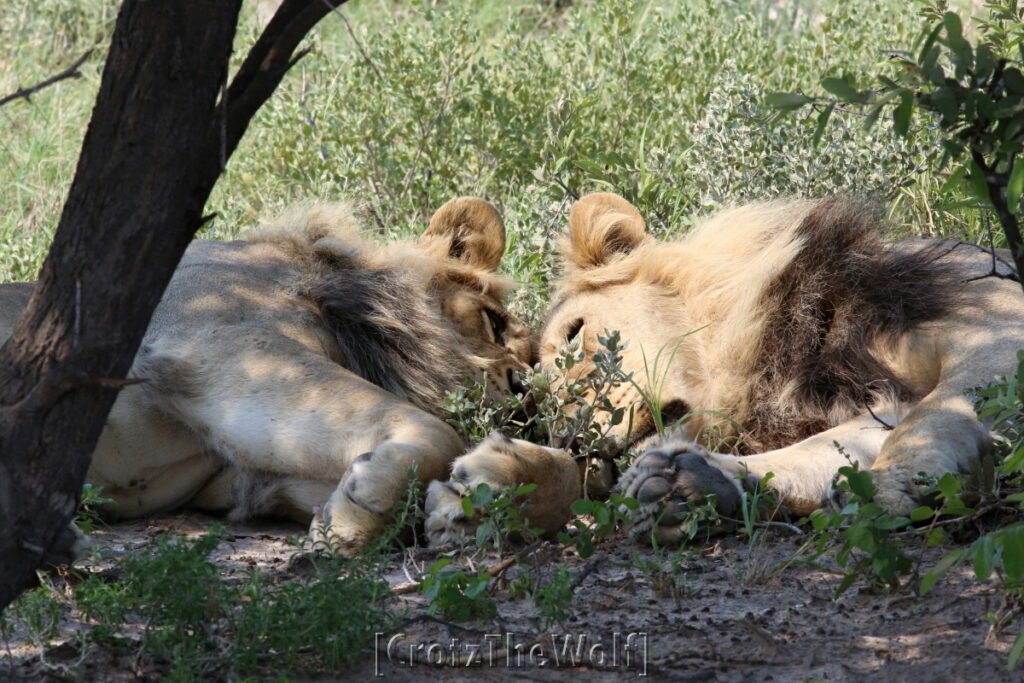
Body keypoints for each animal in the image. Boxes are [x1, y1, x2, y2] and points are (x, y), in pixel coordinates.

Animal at [0, 197, 549, 555]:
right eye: (494, 323)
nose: (526, 395)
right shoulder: (214, 340)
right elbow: (437, 428)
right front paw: (366, 508)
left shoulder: (251, 476)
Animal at [424, 192, 1024, 547]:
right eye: (540, 403)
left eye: (575, 332)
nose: (577, 442)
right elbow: (825, 450)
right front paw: (496, 489)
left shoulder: (993, 320)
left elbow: (938, 412)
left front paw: (903, 479)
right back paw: (681, 487)